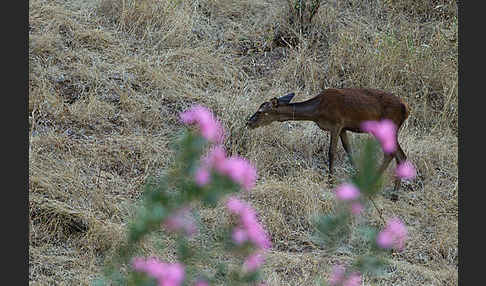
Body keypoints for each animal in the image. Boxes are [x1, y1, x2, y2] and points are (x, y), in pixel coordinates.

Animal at [247, 88, 410, 193]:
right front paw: (357, 176)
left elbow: (331, 152)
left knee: (394, 153)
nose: (248, 123)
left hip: (387, 126)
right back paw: (393, 192)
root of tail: (406, 109)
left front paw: (330, 183)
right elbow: (349, 150)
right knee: (399, 155)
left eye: (261, 111)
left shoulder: (336, 123)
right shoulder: (343, 128)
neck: (317, 112)